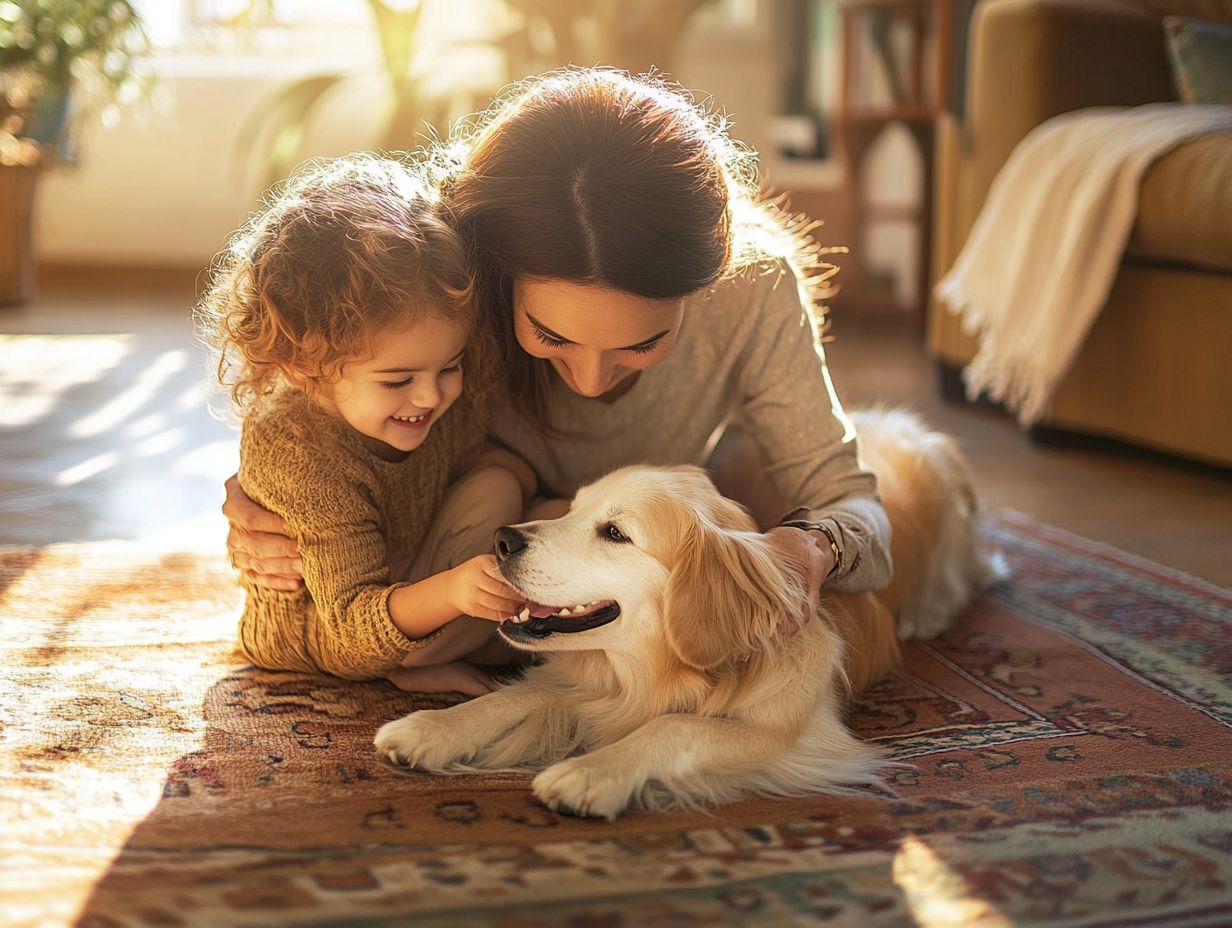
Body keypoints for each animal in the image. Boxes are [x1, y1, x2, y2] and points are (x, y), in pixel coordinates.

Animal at [374, 409, 1000, 813]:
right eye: (572, 509)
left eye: (615, 533)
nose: (503, 540)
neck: (659, 672)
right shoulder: (592, 686)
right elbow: (518, 696)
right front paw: (431, 727)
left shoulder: (797, 737)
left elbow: (673, 726)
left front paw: (590, 771)